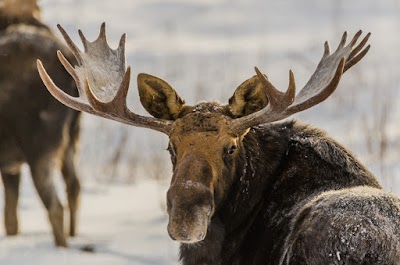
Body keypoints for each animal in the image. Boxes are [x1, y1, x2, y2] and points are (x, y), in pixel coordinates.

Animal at [0, 1, 80, 246]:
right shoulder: (10, 166)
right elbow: (11, 219)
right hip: (70, 142)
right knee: (74, 188)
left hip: (40, 148)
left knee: (55, 206)